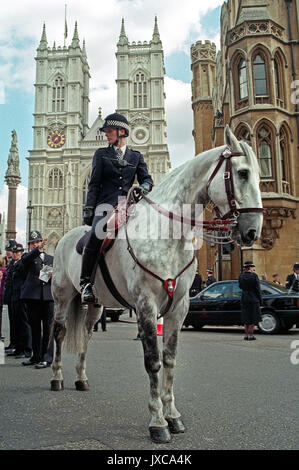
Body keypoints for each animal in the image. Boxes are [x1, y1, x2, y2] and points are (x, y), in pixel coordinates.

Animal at [50, 126, 264, 442]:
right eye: (242, 173)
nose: (252, 231)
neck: (169, 234)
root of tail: (66, 235)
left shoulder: (179, 306)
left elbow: (170, 360)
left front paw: (173, 416)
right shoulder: (146, 305)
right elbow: (153, 361)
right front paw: (158, 422)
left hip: (95, 305)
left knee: (85, 335)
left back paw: (81, 378)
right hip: (62, 296)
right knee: (59, 332)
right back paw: (57, 377)